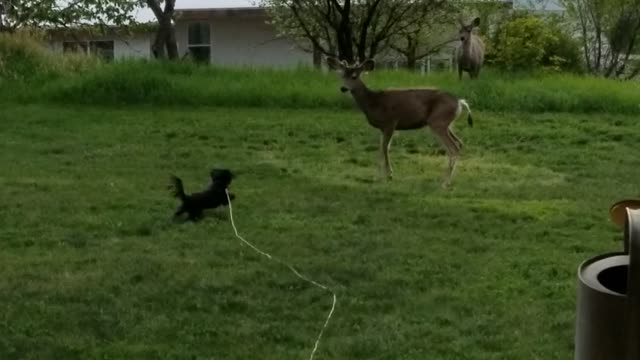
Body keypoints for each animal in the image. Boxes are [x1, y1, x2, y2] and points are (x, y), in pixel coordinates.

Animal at [328, 56, 472, 188]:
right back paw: (446, 179)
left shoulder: (390, 122)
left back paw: (445, 182)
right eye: (342, 75)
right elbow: (380, 148)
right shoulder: (382, 128)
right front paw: (378, 175)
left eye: (354, 76)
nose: (343, 88)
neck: (373, 103)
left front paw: (389, 175)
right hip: (446, 124)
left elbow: (385, 148)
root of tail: (460, 102)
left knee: (453, 147)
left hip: (438, 122)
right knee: (459, 143)